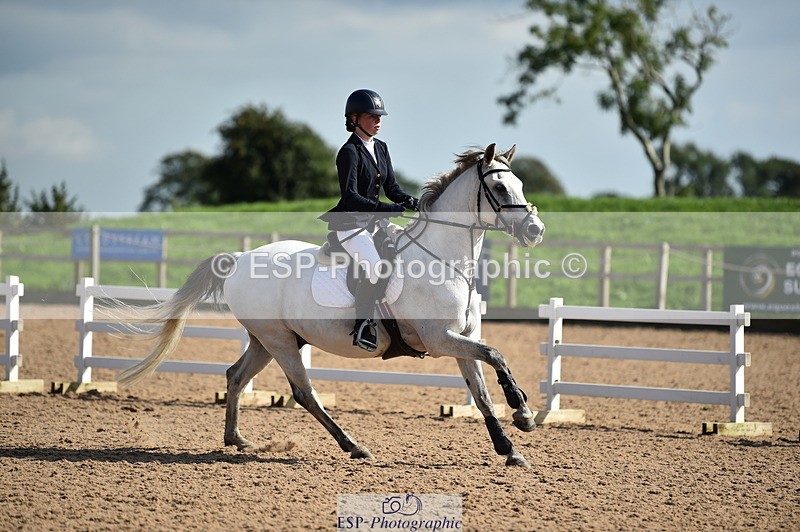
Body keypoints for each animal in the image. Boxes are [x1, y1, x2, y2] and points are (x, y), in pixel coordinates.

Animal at [118, 143, 546, 467]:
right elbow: (496, 354)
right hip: (279, 341)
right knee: (303, 393)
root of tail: (239, 259)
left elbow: (482, 390)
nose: (535, 230)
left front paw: (511, 448)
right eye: (501, 189)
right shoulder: (439, 339)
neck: (443, 259)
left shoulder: (461, 338)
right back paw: (353, 446)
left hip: (266, 339)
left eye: (521, 184)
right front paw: (522, 413)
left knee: (236, 376)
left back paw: (236, 439)